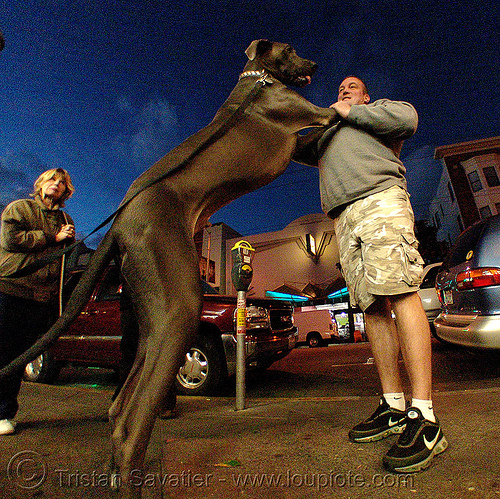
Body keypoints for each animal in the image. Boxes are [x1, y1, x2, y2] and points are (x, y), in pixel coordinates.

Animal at [1, 39, 338, 496]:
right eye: (290, 49)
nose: (315, 64)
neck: (258, 82)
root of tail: (121, 223)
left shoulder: (299, 145)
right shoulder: (303, 113)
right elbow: (333, 111)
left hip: (151, 321)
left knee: (118, 410)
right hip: (179, 305)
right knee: (130, 423)